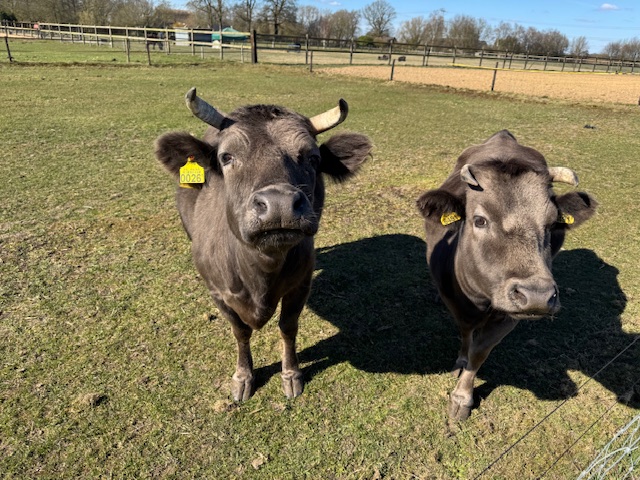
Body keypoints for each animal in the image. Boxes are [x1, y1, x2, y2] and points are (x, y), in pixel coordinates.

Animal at [155, 88, 372, 401]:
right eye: (226, 157)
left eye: (313, 158)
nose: (279, 205)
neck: (261, 271)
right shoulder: (218, 293)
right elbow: (240, 332)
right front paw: (243, 377)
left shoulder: (301, 285)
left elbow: (288, 327)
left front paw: (291, 374)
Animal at [416, 130, 597, 420]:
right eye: (479, 220)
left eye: (552, 224)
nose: (537, 296)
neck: (482, 299)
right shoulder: (455, 303)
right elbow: (466, 334)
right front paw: (460, 362)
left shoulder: (510, 318)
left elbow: (480, 351)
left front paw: (462, 397)